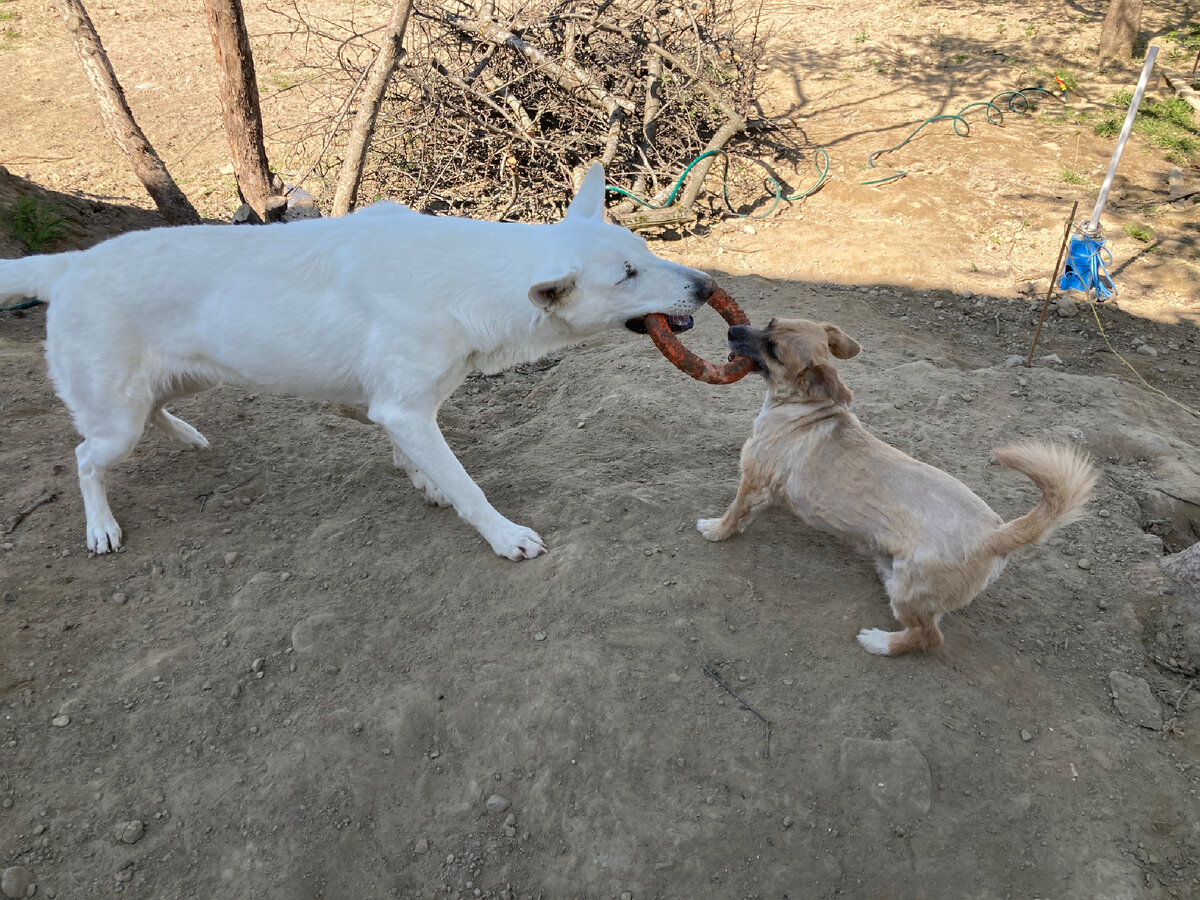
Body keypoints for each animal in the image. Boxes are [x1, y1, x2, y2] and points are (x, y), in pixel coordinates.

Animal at [0, 160, 710, 556]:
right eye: (626, 275)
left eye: (645, 251)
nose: (705, 286)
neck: (467, 278)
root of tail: (70, 264)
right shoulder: (405, 409)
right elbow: (468, 485)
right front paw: (503, 535)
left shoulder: (400, 409)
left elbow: (418, 459)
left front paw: (424, 482)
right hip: (115, 422)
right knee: (85, 457)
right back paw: (100, 528)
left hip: (181, 381)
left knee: (152, 413)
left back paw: (186, 436)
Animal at [700, 321, 1099, 657]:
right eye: (769, 324)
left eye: (773, 349)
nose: (733, 329)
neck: (804, 408)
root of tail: (996, 535)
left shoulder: (752, 482)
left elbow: (734, 513)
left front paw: (715, 530)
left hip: (909, 595)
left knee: (928, 636)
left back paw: (881, 643)